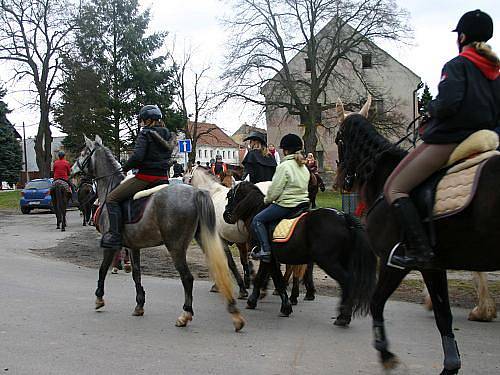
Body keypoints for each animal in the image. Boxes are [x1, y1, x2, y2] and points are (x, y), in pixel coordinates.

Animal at [71, 135, 245, 332]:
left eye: (83, 153)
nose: (73, 170)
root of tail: (196, 193)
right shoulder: (133, 246)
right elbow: (136, 273)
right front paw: (139, 304)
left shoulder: (110, 245)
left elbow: (102, 269)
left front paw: (99, 298)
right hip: (203, 239)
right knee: (222, 265)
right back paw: (234, 312)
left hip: (175, 246)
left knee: (188, 278)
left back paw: (185, 315)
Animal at [223, 182, 376, 326]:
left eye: (229, 196)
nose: (225, 215)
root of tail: (343, 217)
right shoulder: (268, 258)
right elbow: (261, 277)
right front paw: (253, 300)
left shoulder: (268, 257)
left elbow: (277, 280)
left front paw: (285, 307)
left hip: (328, 261)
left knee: (347, 281)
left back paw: (343, 316)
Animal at [334, 97, 500, 375]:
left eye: (338, 140)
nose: (340, 183)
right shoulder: (434, 265)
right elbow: (444, 316)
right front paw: (451, 364)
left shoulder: (394, 262)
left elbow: (376, 303)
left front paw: (386, 353)